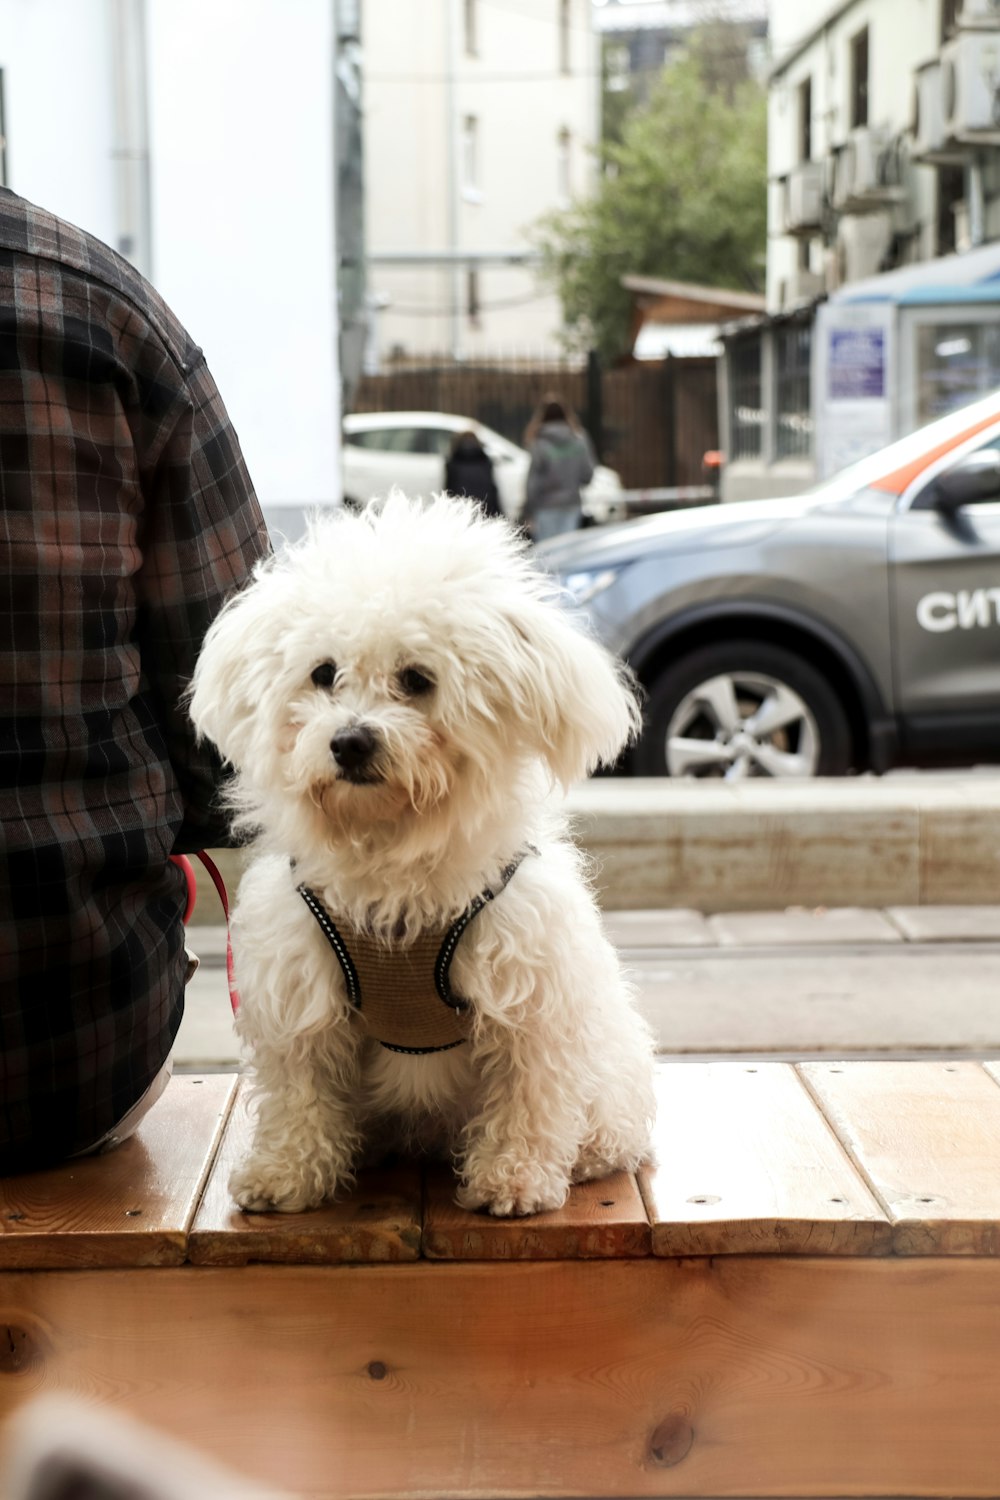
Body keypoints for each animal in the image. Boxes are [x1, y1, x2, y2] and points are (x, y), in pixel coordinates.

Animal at [189, 492, 656, 1218]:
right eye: (323, 673)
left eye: (417, 678)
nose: (350, 742)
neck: (393, 853)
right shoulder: (301, 993)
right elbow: (301, 1093)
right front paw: (286, 1173)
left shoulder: (529, 999)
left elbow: (526, 1094)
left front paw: (514, 1179)